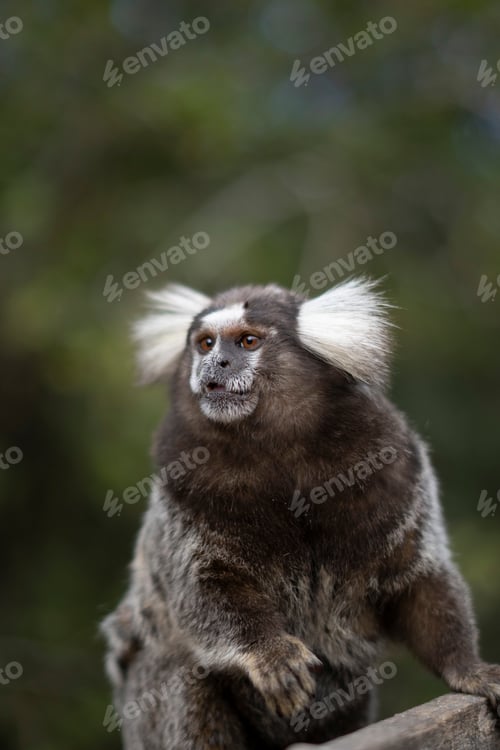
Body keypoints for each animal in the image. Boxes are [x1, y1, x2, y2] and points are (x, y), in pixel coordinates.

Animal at [101, 278, 500, 749]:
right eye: (206, 343)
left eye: (248, 341)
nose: (216, 363)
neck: (279, 449)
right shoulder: (180, 494)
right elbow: (203, 589)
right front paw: (271, 654)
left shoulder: (398, 469)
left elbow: (417, 578)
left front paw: (469, 669)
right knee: (178, 671)